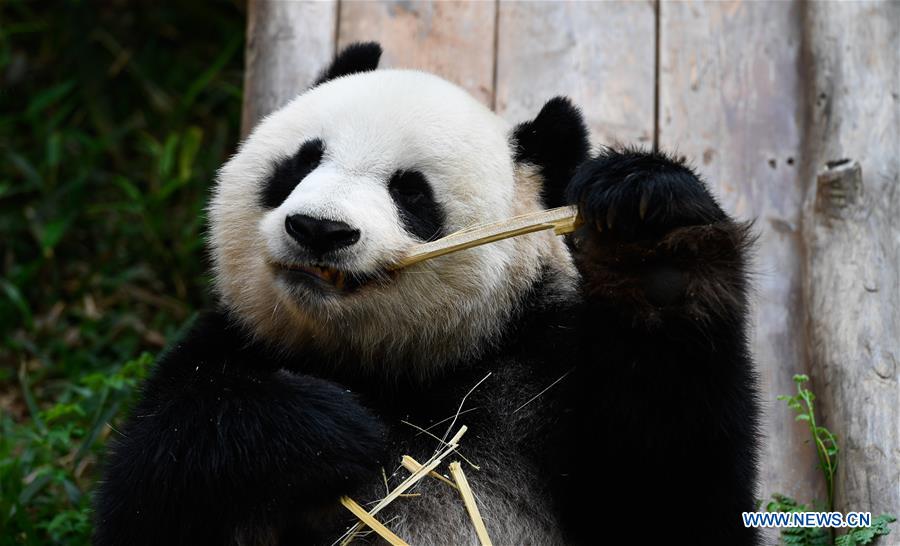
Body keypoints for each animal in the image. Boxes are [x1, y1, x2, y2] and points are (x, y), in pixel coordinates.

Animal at [95, 42, 760, 546]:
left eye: (411, 192)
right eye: (301, 162)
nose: (318, 229)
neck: (397, 370)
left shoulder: (544, 373)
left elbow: (675, 496)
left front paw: (648, 230)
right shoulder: (228, 345)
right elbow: (154, 480)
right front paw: (326, 430)